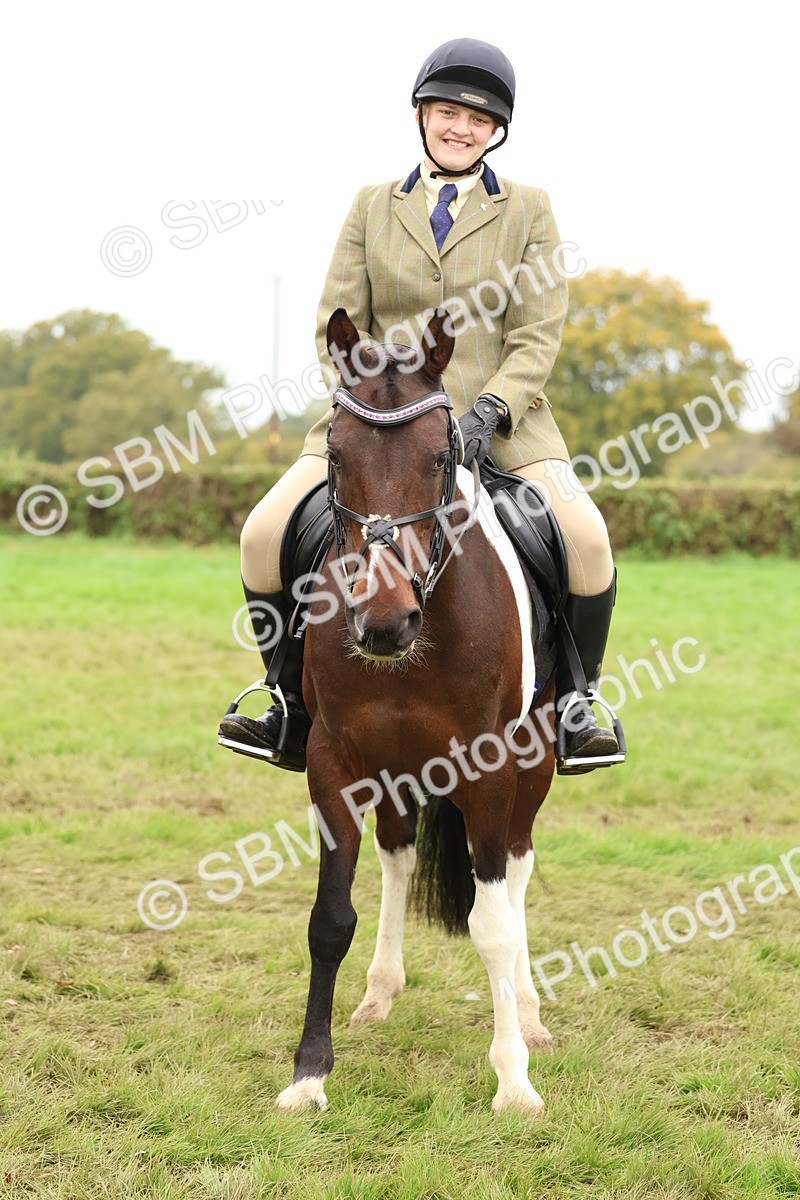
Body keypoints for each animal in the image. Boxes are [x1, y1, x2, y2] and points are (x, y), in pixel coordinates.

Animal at [275, 306, 557, 1116]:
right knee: (398, 856)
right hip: (397, 767)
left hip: (536, 764)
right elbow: (329, 919)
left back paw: (529, 1013)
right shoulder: (334, 760)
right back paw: (379, 994)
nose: (384, 622)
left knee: (516, 871)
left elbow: (492, 924)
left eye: (439, 457)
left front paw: (513, 1081)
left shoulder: (492, 768)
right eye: (336, 453)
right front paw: (308, 1074)